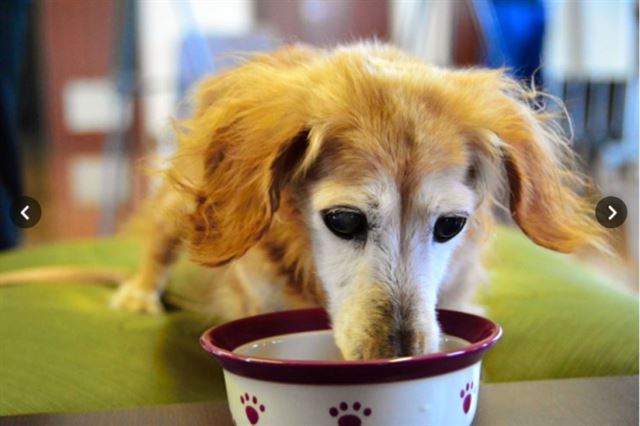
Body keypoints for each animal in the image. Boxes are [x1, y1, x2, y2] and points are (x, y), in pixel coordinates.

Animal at [106, 43, 604, 362]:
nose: (398, 358)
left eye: (451, 225)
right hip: (190, 203)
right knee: (162, 240)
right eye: (344, 221)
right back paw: (140, 291)